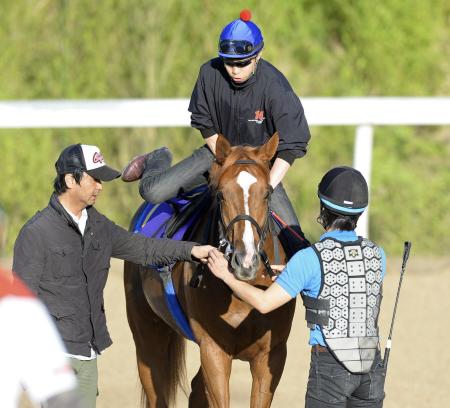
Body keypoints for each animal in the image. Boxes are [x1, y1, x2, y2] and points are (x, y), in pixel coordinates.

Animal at [125, 132, 298, 406]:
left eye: (267, 194)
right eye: (221, 195)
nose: (245, 261)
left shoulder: (272, 355)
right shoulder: (213, 351)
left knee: (196, 389)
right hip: (147, 335)